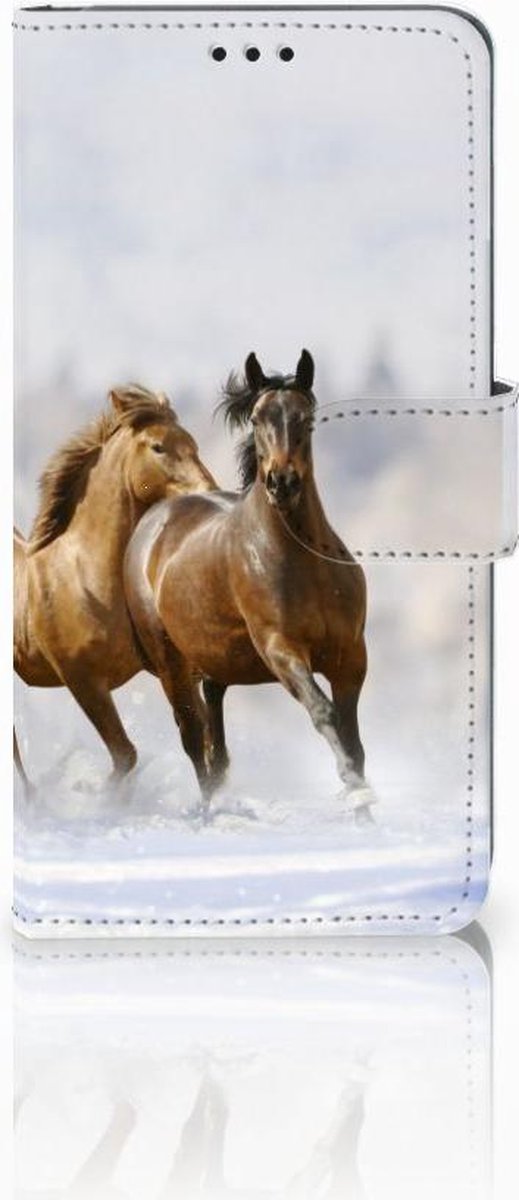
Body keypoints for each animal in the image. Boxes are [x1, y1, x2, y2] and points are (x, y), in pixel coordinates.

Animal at [14, 385, 216, 786]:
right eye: (158, 447)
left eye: (193, 443)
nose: (209, 490)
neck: (86, 578)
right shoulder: (83, 680)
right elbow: (125, 755)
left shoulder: (173, 668)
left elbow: (199, 739)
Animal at [124, 351, 372, 817]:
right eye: (257, 418)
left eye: (305, 417)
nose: (282, 482)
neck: (303, 564)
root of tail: (153, 520)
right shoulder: (281, 650)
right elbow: (324, 712)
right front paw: (354, 790)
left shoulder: (350, 657)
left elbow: (352, 738)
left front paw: (363, 808)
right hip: (170, 664)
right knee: (193, 738)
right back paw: (209, 813)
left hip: (215, 662)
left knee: (215, 740)